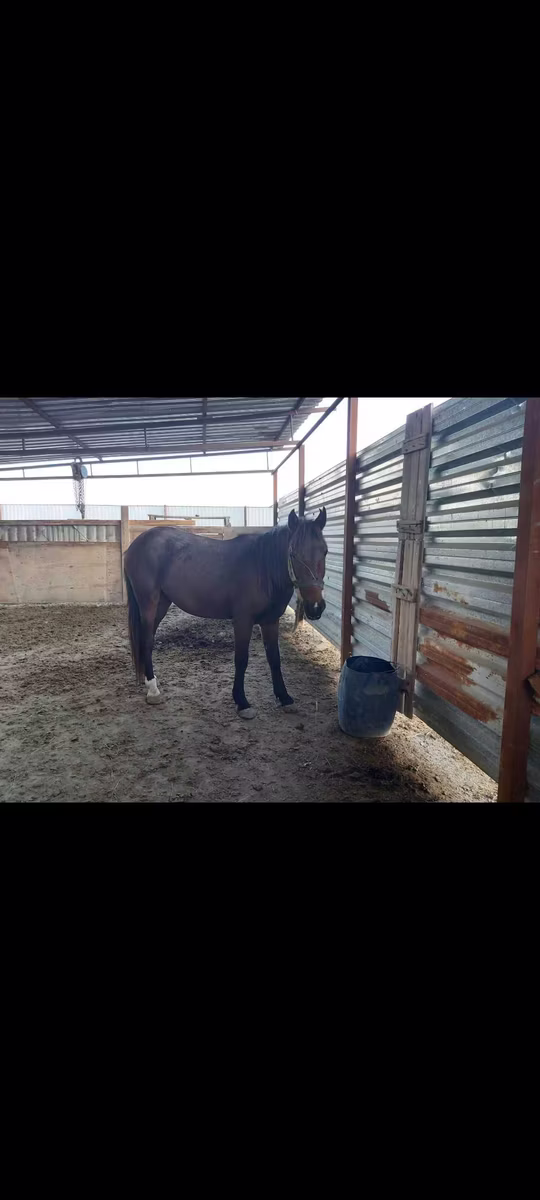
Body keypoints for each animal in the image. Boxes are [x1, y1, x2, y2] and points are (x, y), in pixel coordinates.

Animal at [123, 507, 327, 719]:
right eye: (293, 553)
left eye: (325, 551)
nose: (315, 607)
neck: (262, 569)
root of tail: (134, 546)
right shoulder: (243, 621)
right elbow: (241, 659)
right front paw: (242, 702)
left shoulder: (270, 621)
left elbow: (274, 658)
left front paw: (284, 697)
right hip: (148, 604)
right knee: (147, 641)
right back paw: (153, 690)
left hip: (162, 604)